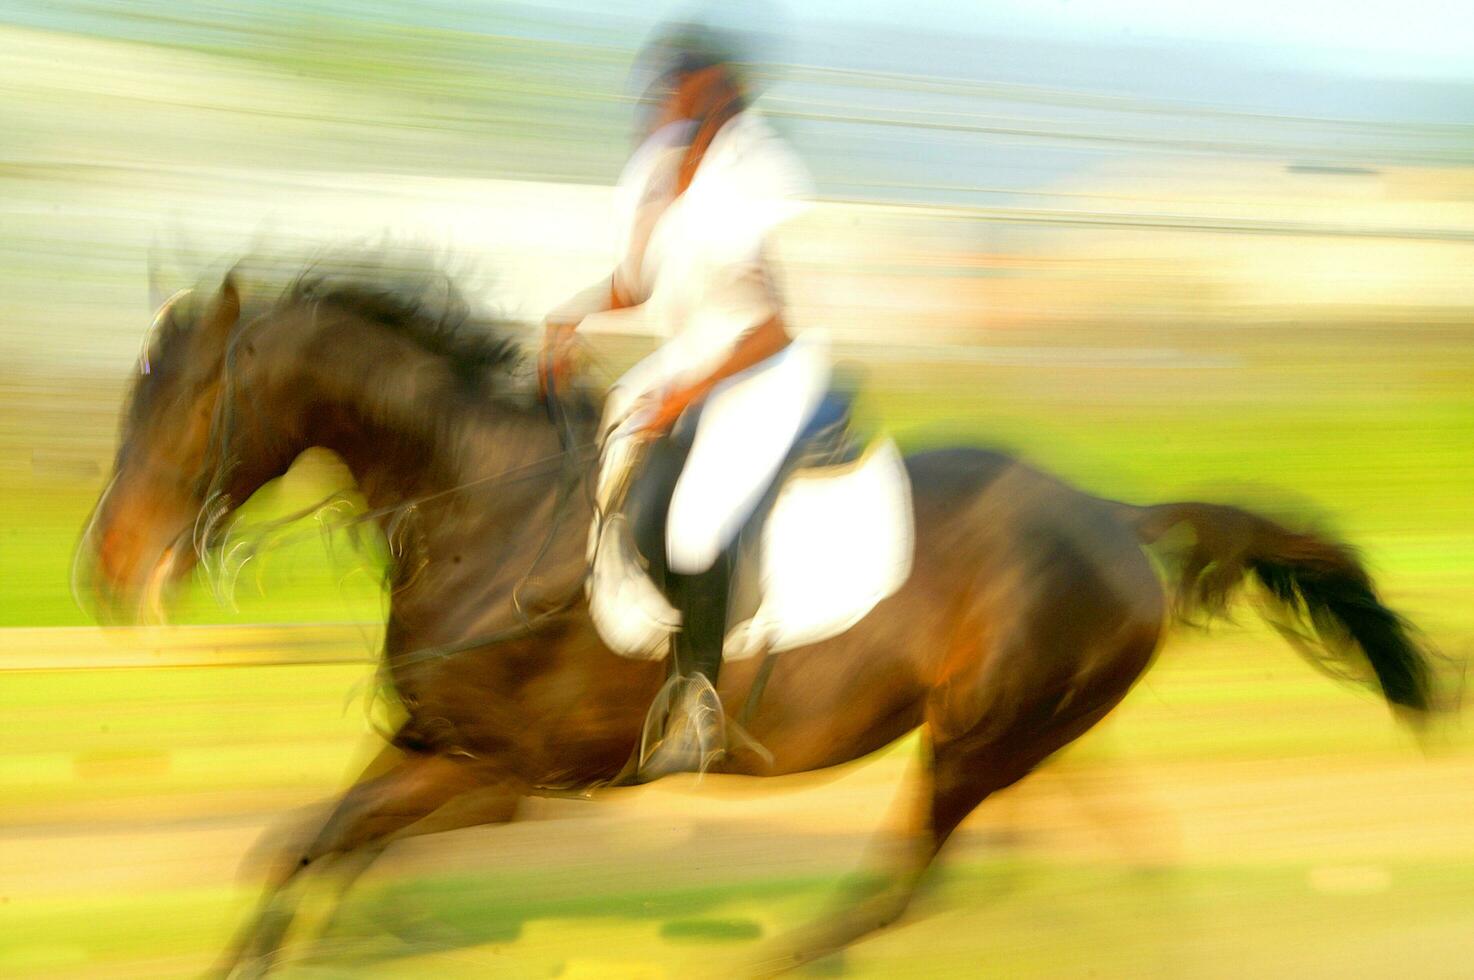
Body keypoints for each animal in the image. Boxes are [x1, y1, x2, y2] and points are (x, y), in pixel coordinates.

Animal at [74, 256, 1432, 972]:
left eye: (186, 403)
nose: (106, 567)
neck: (490, 511)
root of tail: (1113, 512)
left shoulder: (508, 771)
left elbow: (329, 841)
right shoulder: (432, 740)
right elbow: (301, 846)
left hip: (977, 737)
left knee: (900, 884)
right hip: (1019, 727)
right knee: (1074, 827)